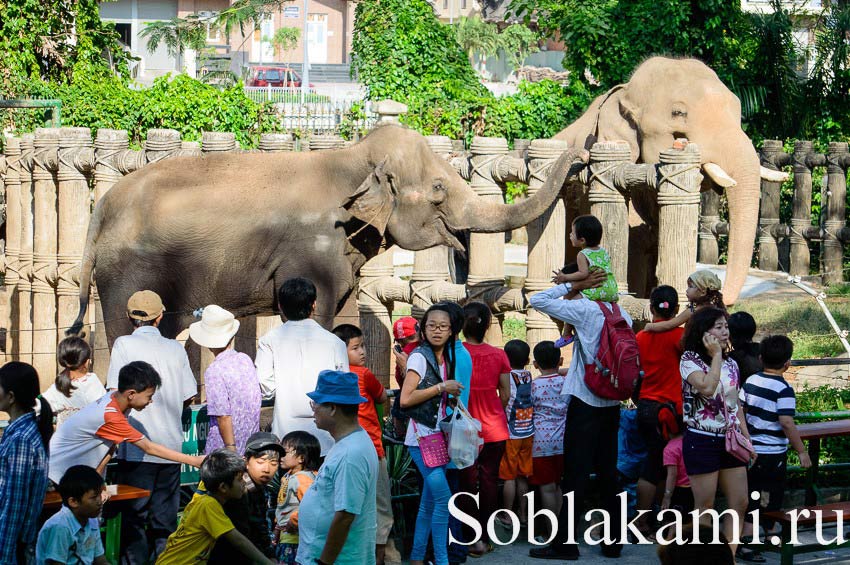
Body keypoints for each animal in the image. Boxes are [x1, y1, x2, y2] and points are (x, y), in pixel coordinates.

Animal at [71, 124, 584, 344]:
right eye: (439, 189)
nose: (579, 156)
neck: (354, 157)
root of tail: (103, 208)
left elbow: (345, 312)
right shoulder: (313, 252)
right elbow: (314, 314)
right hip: (128, 273)